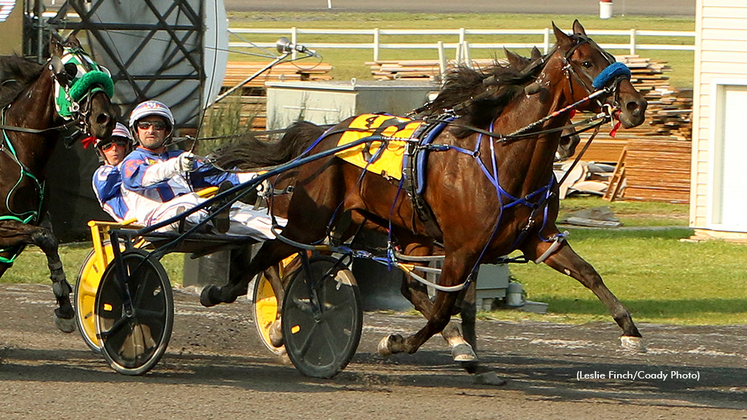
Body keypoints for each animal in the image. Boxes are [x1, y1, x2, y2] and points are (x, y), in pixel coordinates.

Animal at [0, 35, 117, 332]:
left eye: (100, 68)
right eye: (70, 71)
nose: (105, 119)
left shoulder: (32, 221)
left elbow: (47, 239)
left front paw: (64, 305)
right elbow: (45, 237)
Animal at [205, 21, 648, 378]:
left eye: (610, 56)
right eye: (587, 62)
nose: (635, 105)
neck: (503, 156)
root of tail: (325, 132)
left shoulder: (535, 240)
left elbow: (588, 274)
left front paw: (631, 332)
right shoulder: (461, 250)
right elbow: (440, 312)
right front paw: (397, 343)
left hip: (395, 230)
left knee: (378, 279)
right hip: (311, 219)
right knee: (275, 254)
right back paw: (248, 306)